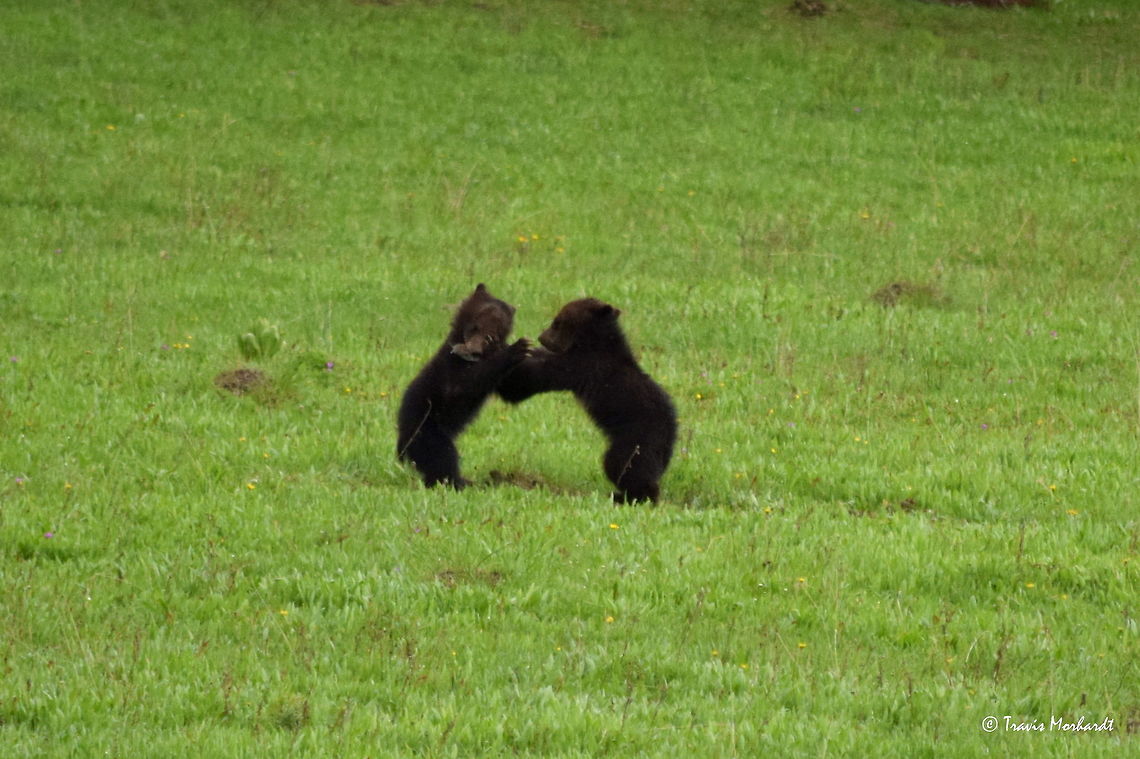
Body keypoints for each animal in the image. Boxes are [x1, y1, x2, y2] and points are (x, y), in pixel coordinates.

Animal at [397, 284, 529, 490]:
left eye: (491, 335)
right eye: (475, 327)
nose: (473, 349)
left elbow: (514, 388)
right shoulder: (448, 369)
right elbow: (463, 387)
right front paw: (517, 348)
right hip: (427, 428)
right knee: (442, 457)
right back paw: (459, 481)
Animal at [497, 297, 677, 503]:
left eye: (557, 322)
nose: (541, 337)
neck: (592, 344)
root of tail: (672, 429)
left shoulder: (583, 366)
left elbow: (533, 378)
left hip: (636, 439)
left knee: (622, 465)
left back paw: (628, 495)